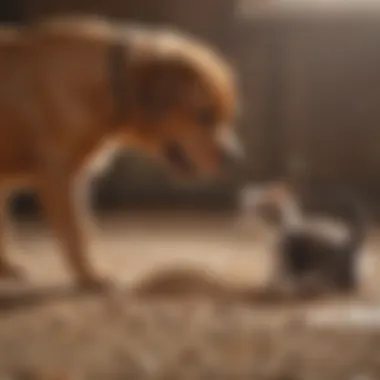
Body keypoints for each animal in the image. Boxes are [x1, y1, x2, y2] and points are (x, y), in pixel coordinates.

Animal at [0, 14, 242, 288]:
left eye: (228, 115)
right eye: (204, 115)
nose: (235, 158)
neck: (104, 83)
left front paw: (5, 268)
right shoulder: (59, 175)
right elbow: (77, 232)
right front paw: (91, 276)